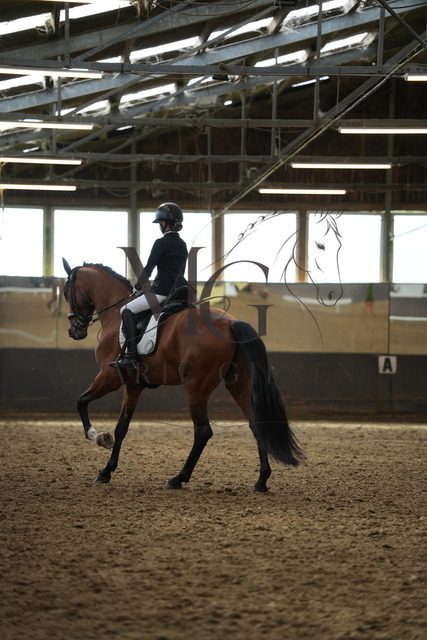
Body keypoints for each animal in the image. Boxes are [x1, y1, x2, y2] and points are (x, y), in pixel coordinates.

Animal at [62, 259, 304, 492]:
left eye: (65, 292)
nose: (74, 331)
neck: (114, 314)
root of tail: (229, 322)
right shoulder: (133, 386)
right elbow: (121, 427)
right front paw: (106, 470)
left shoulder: (109, 377)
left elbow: (81, 402)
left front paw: (98, 437)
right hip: (238, 386)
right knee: (256, 424)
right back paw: (261, 481)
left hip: (195, 388)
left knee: (203, 431)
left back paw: (178, 478)